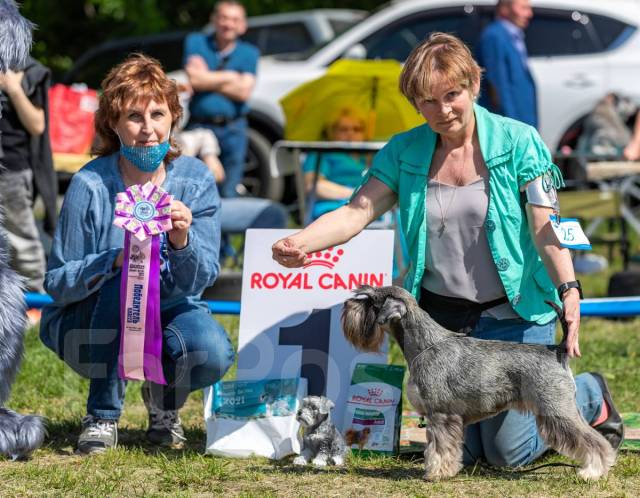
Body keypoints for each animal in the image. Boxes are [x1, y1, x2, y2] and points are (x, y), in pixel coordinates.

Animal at [340, 286, 616, 480]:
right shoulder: (442, 417)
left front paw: (436, 473)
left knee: (593, 440)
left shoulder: (441, 415)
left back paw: (593, 471)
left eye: (370, 301)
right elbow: (439, 447)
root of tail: (557, 350)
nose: (347, 305)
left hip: (556, 410)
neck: (424, 343)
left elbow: (440, 447)